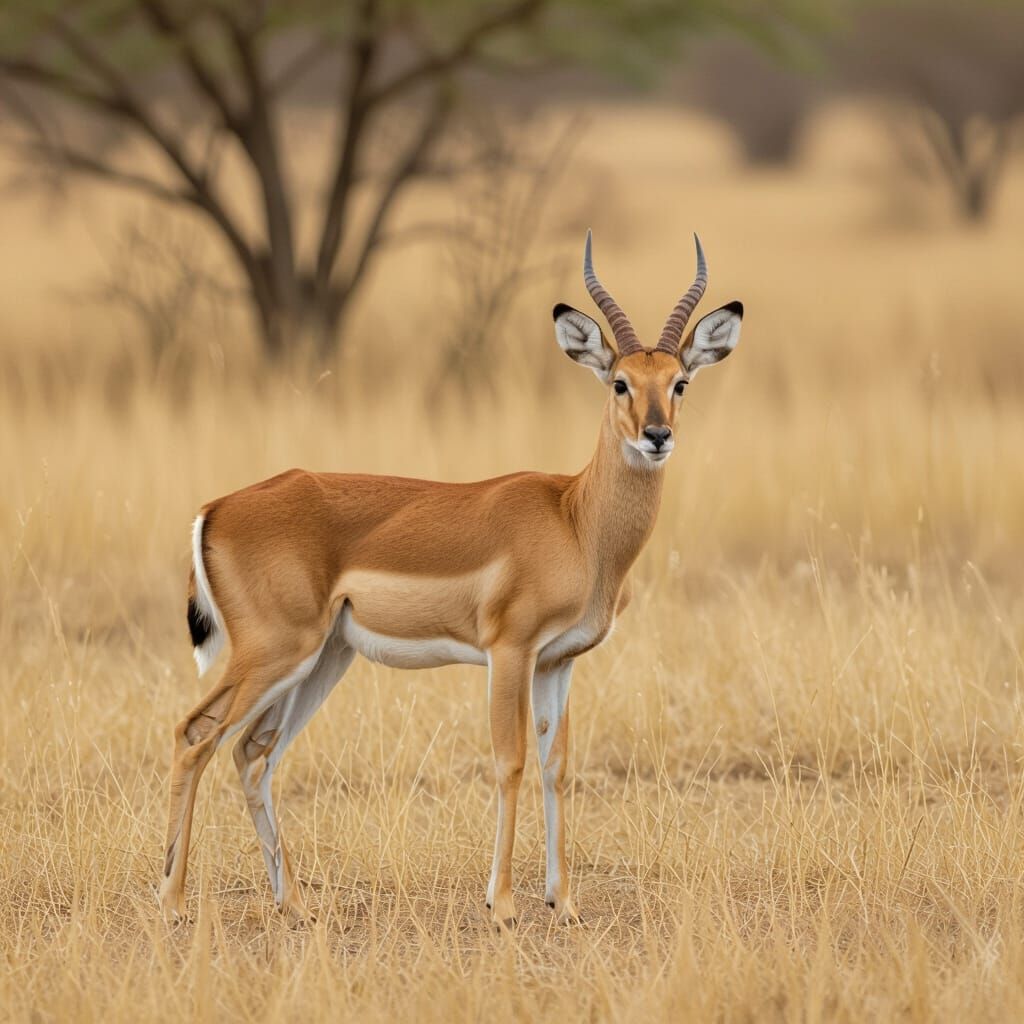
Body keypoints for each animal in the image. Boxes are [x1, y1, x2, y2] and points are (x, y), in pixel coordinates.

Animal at [158, 231, 743, 929]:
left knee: (253, 752)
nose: (657, 436)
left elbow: (556, 765)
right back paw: (173, 902)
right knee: (196, 734)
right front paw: (503, 904)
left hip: (322, 659)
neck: (576, 519)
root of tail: (215, 508)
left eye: (679, 382)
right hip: (275, 652)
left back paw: (294, 902)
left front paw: (565, 902)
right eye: (620, 383)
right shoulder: (510, 651)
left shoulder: (559, 661)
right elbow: (509, 761)